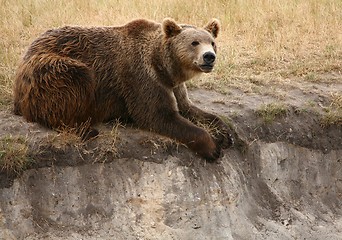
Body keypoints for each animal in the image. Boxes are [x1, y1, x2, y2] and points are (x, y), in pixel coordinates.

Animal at [13, 17, 232, 161]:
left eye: (212, 42)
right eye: (194, 42)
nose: (209, 57)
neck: (164, 67)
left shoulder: (174, 85)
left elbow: (189, 108)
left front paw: (226, 134)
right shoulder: (141, 76)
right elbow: (158, 114)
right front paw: (212, 147)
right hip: (50, 68)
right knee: (73, 80)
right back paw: (86, 129)